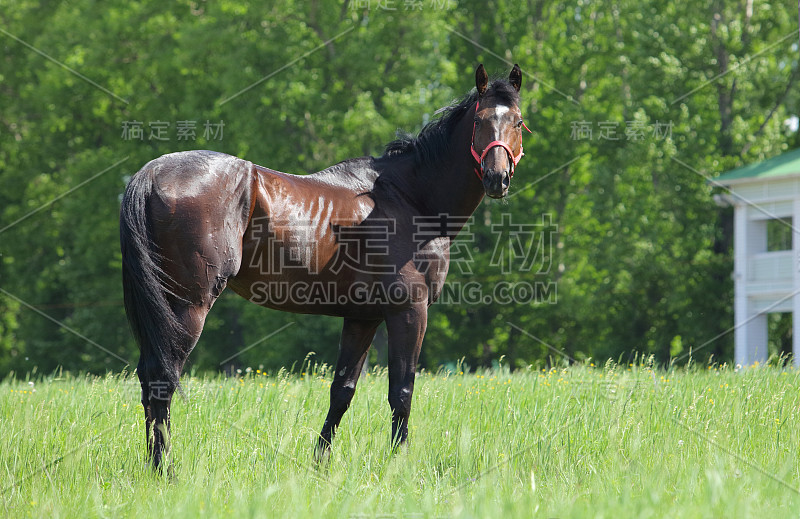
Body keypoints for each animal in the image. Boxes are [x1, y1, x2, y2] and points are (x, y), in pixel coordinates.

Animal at [120, 63, 532, 470]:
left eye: (517, 121)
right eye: (479, 121)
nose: (497, 178)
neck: (408, 197)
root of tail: (152, 173)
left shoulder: (363, 317)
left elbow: (342, 390)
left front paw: (320, 461)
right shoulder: (409, 311)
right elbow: (402, 391)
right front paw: (399, 462)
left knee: (149, 377)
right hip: (187, 307)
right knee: (162, 378)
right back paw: (165, 469)